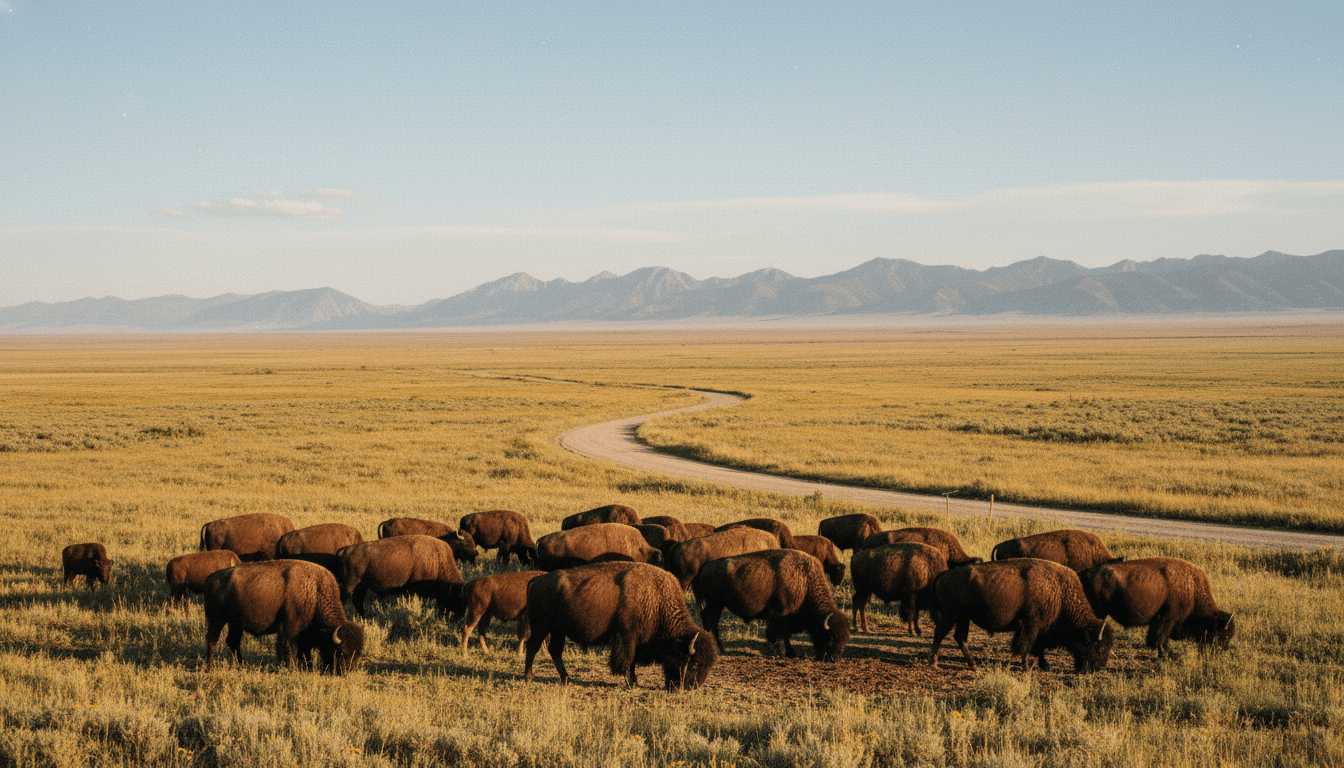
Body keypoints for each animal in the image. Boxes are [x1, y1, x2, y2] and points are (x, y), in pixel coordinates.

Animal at [203, 559, 364, 674]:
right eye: (341, 652)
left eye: (357, 654)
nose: (346, 672)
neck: (315, 591)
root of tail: (210, 578)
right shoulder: (290, 630)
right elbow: (289, 649)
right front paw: (292, 668)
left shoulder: (305, 634)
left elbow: (304, 651)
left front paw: (307, 666)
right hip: (217, 619)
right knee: (212, 639)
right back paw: (210, 668)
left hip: (235, 623)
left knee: (232, 642)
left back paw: (245, 667)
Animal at [524, 561, 717, 690]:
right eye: (695, 663)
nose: (693, 687)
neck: (656, 599)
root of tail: (537, 579)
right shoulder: (627, 637)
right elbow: (627, 660)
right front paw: (630, 683)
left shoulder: (637, 641)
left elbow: (632, 662)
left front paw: (634, 681)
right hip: (541, 626)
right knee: (532, 646)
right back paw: (528, 677)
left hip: (558, 630)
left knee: (554, 650)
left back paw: (565, 678)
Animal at [692, 549, 849, 661]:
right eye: (830, 637)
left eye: (845, 638)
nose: (834, 658)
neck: (805, 581)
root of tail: (705, 567)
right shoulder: (780, 617)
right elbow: (779, 635)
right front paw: (781, 653)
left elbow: (784, 636)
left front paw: (790, 653)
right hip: (715, 604)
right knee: (710, 622)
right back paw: (718, 649)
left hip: (717, 605)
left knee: (710, 622)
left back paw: (720, 648)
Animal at [931, 559, 1114, 673]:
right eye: (1099, 647)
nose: (1098, 667)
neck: (1060, 592)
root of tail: (944, 575)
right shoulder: (1031, 625)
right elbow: (1026, 645)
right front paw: (1026, 667)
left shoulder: (1037, 628)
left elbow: (1037, 647)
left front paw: (1044, 665)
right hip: (951, 616)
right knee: (940, 633)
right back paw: (934, 662)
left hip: (963, 618)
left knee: (960, 637)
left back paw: (973, 665)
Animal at [1079, 557, 1235, 654]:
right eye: (1221, 635)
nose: (1221, 651)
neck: (1192, 588)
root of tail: (1083, 573)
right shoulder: (1166, 619)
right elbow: (1159, 639)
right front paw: (1166, 654)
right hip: (1099, 612)